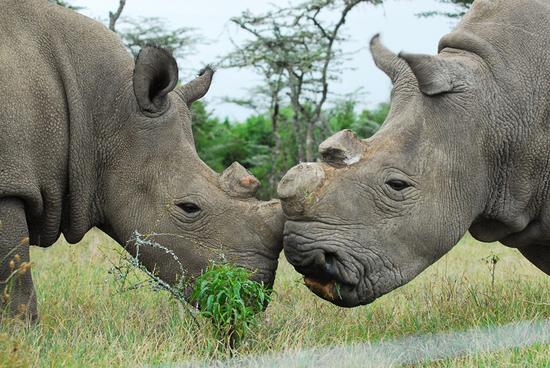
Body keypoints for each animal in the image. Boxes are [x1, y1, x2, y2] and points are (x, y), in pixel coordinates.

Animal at [0, 0, 284, 322]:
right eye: (189, 208)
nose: (255, 294)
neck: (104, 111)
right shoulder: (9, 185)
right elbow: (15, 276)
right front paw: (21, 332)